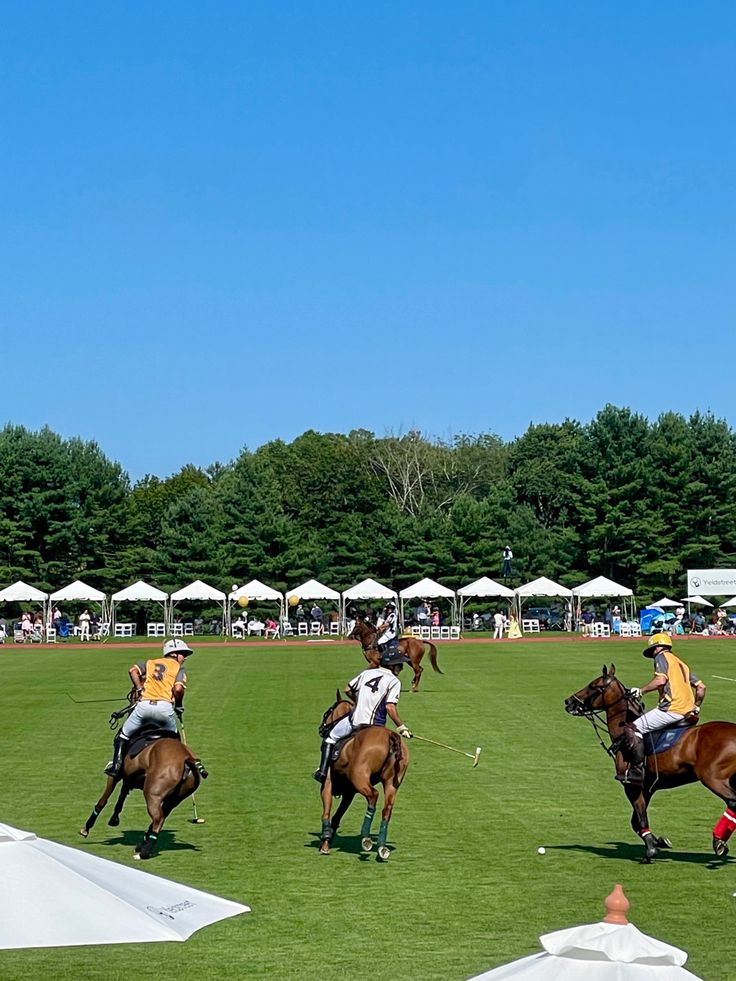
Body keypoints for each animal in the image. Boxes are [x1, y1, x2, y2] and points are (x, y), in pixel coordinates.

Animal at [80, 728, 204, 856]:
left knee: (158, 819)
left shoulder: (116, 776)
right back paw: (142, 844)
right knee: (162, 817)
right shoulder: (129, 779)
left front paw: (86, 828)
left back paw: (144, 851)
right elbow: (121, 797)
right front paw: (114, 819)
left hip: (152, 794)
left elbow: (103, 800)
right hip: (174, 799)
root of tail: (187, 759)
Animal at [316, 688, 408, 856]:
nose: (321, 729)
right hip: (392, 782)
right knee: (387, 808)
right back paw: (381, 847)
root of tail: (390, 735)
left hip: (360, 777)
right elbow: (336, 818)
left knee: (373, 795)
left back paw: (366, 838)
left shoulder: (328, 784)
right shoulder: (349, 792)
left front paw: (325, 844)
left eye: (328, 712)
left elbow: (326, 812)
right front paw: (328, 839)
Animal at [568, 664, 736, 860]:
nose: (568, 702)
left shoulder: (631, 784)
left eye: (594, 686)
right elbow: (635, 820)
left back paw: (718, 841)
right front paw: (660, 841)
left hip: (712, 777)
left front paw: (650, 848)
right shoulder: (648, 787)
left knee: (733, 801)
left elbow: (640, 818)